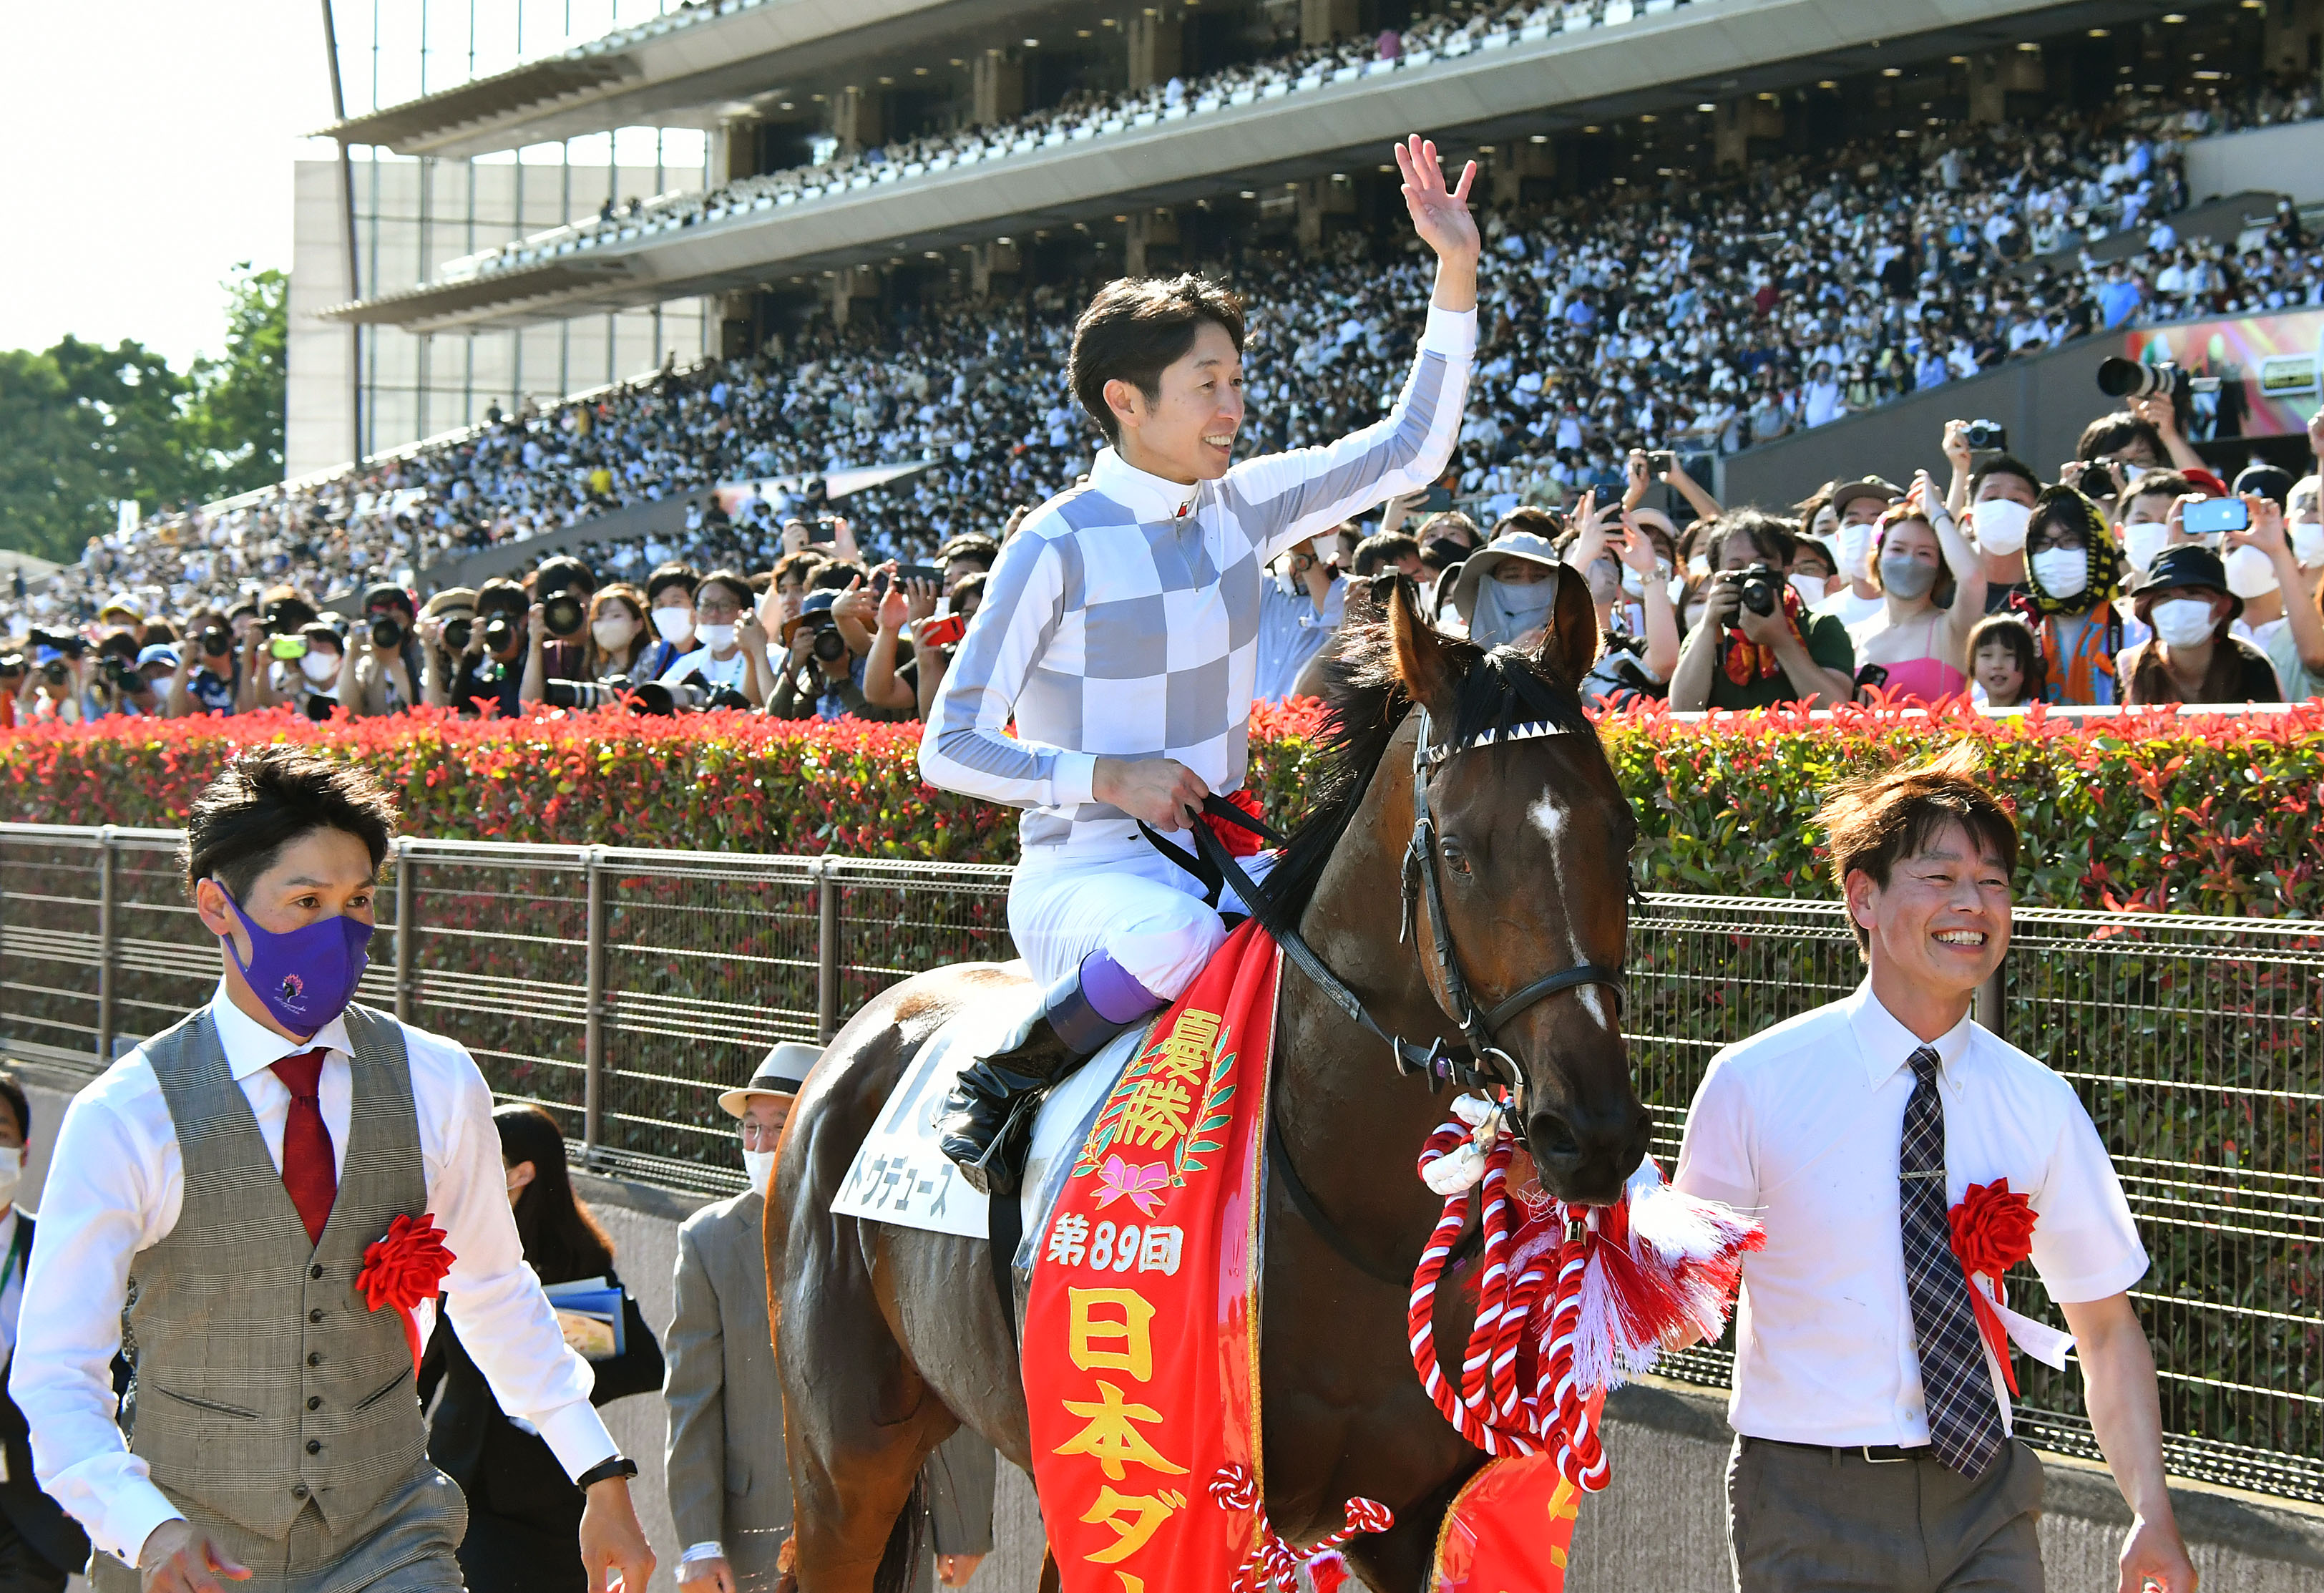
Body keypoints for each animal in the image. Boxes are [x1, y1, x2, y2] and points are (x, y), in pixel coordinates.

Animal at [771, 574, 1645, 1590]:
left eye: (1620, 835)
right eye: (1460, 852)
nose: (1593, 1133)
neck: (1347, 1210)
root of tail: (856, 1037)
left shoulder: (1405, 1518)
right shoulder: (1188, 1505)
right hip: (844, 1461)